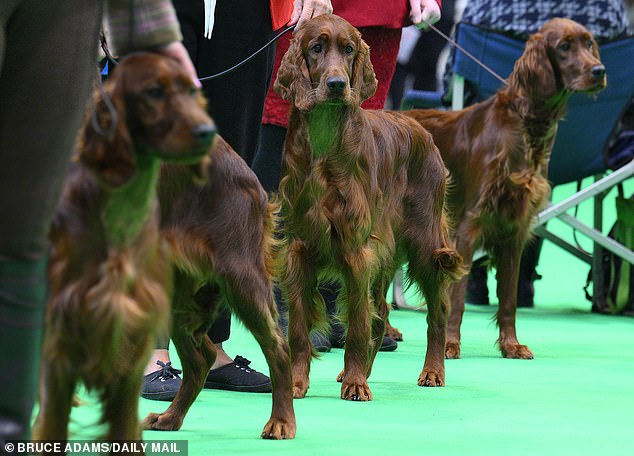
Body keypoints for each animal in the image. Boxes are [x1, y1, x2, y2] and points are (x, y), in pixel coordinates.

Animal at [274, 13, 462, 400]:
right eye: (317, 48)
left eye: (349, 50)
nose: (336, 84)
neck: (324, 139)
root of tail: (420, 127)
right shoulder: (300, 249)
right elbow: (299, 329)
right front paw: (297, 382)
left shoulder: (357, 250)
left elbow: (358, 327)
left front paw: (356, 383)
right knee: (382, 310)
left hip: (424, 242)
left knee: (436, 312)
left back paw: (432, 370)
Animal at [402, 17, 604, 360]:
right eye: (564, 46)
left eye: (589, 42)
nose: (599, 71)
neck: (527, 123)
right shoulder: (469, 225)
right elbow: (457, 296)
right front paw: (451, 344)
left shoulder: (515, 229)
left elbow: (509, 297)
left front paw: (511, 345)